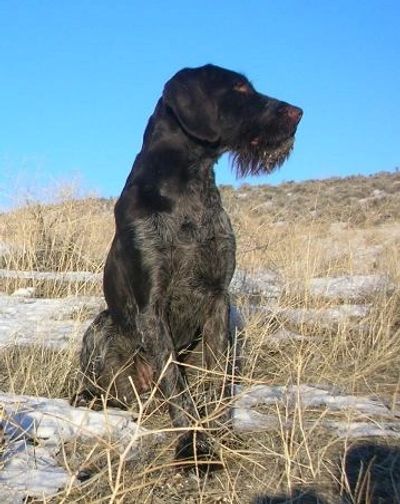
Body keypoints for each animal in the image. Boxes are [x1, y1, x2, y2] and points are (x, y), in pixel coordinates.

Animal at [72, 63, 304, 464]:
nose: (298, 112)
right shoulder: (151, 307)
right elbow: (176, 387)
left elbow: (217, 379)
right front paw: (194, 446)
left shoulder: (218, 299)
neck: (189, 185)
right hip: (103, 328)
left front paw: (222, 431)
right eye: (239, 88)